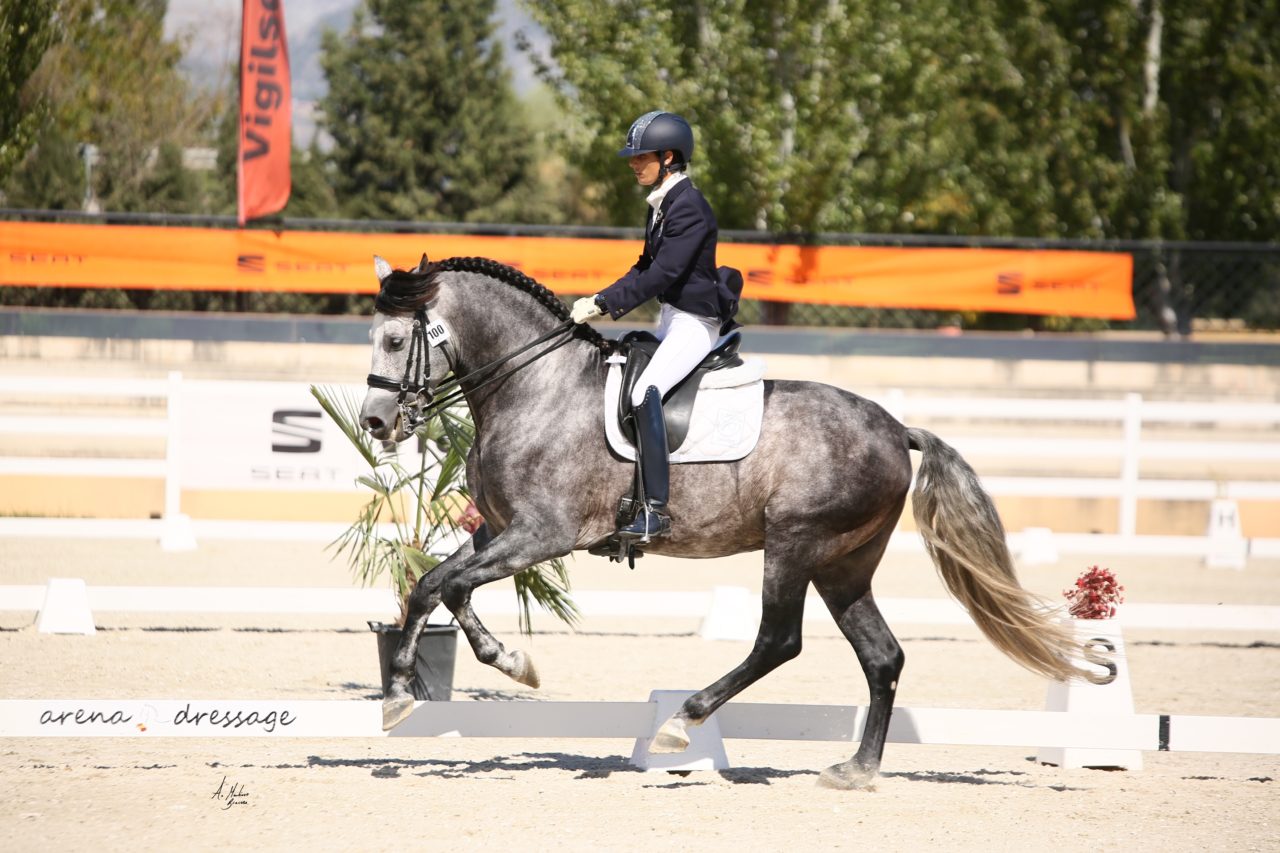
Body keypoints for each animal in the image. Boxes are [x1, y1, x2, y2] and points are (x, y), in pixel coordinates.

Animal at [360, 253, 1090, 788]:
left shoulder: (543, 534)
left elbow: (454, 586)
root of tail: (895, 428)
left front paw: (512, 661)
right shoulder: (498, 530)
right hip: (844, 564)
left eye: (395, 339)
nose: (374, 422)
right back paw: (856, 769)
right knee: (882, 656)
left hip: (796, 544)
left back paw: (683, 721)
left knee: (779, 640)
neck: (535, 386)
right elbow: (430, 584)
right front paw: (399, 695)